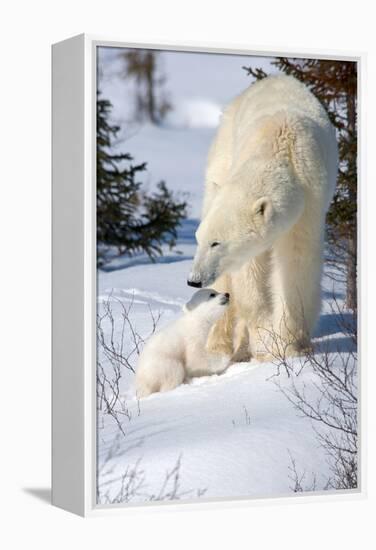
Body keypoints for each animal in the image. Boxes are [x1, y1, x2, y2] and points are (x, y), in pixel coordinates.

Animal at [188, 76, 338, 362]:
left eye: (216, 243)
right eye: (199, 239)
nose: (194, 279)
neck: (281, 146)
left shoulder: (310, 203)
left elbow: (295, 265)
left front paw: (288, 345)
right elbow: (249, 274)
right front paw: (265, 341)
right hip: (223, 152)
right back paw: (220, 345)